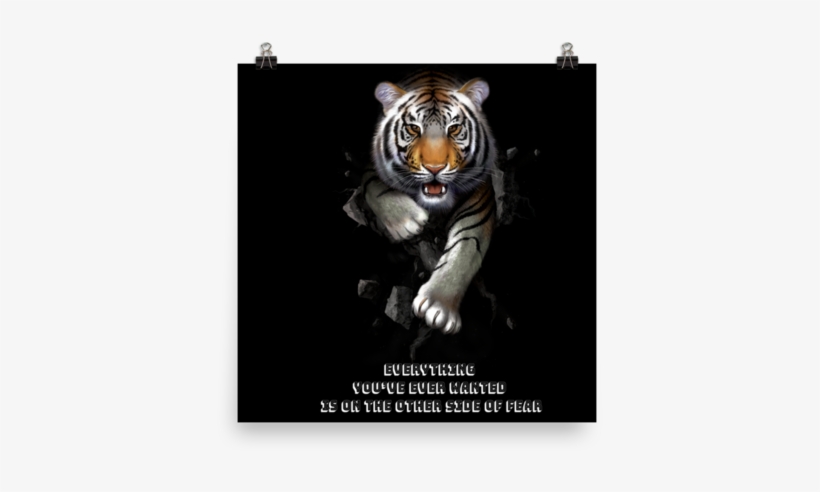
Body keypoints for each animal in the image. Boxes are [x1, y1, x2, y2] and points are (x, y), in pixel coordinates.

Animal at [361, 70, 498, 336]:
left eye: (454, 128)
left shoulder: (480, 195)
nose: (435, 168)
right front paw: (407, 221)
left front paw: (438, 306)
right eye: (414, 129)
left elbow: (466, 246)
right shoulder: (371, 167)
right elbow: (375, 187)